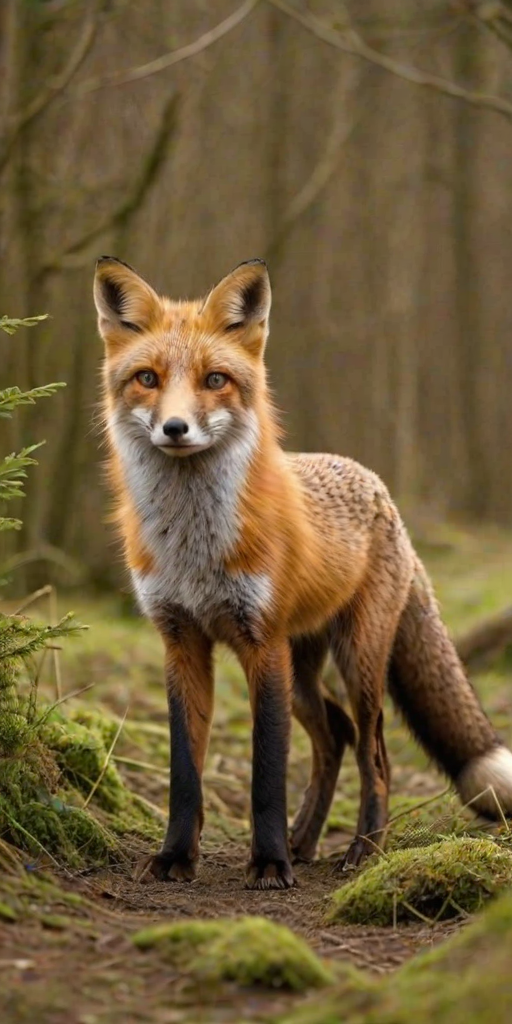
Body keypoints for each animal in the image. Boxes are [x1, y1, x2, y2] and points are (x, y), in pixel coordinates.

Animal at [94, 255, 512, 890]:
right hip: (303, 669)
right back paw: (306, 840)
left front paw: (268, 862)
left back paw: (362, 851)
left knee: (373, 750)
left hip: (356, 659)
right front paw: (176, 856)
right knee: (334, 734)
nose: (175, 429)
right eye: (147, 378)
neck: (194, 548)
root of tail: (381, 490)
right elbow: (184, 771)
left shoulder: (261, 642)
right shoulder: (182, 641)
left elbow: (267, 771)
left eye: (215, 380)